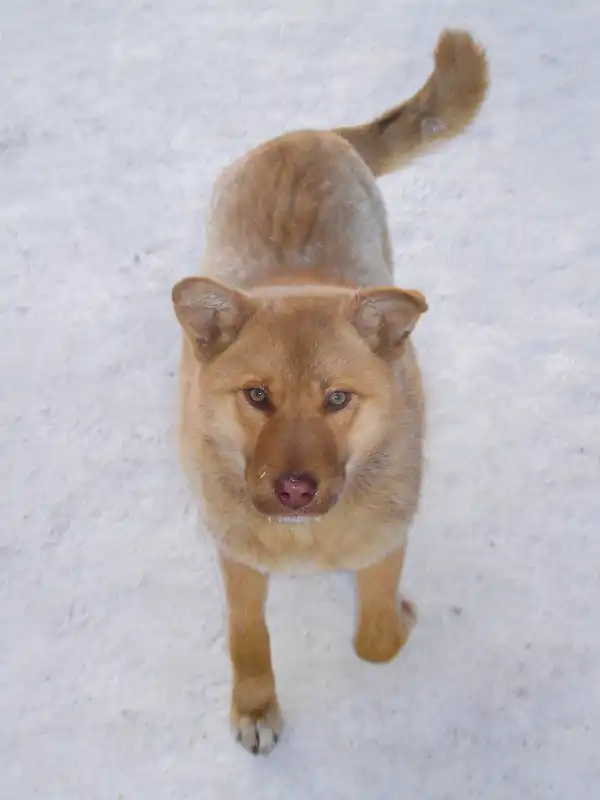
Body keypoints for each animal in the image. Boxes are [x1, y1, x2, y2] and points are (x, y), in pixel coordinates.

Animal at [171, 29, 488, 754]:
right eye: (256, 396)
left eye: (338, 399)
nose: (294, 490)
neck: (304, 542)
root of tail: (309, 133)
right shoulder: (236, 558)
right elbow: (247, 636)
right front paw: (256, 706)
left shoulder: (384, 542)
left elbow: (376, 642)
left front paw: (399, 617)